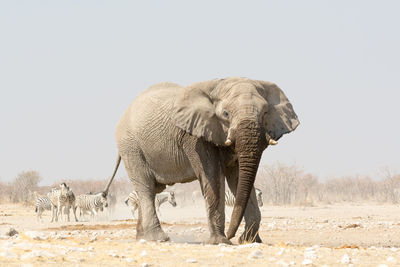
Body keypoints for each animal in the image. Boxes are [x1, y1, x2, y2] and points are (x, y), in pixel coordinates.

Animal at [104, 77, 298, 245]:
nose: (233, 236)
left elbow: (239, 180)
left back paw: (142, 237)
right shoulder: (195, 136)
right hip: (131, 146)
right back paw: (159, 238)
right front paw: (220, 242)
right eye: (225, 113)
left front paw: (251, 241)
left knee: (153, 188)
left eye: (265, 113)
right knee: (146, 187)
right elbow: (212, 177)